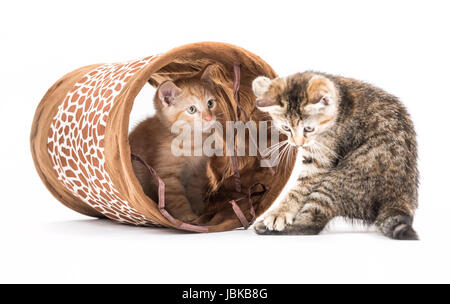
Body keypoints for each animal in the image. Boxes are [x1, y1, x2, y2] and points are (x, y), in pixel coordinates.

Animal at [129, 66, 221, 222]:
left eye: (210, 103)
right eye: (191, 109)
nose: (209, 118)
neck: (192, 140)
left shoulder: (198, 172)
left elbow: (195, 192)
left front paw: (199, 210)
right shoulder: (166, 175)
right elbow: (177, 198)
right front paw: (187, 216)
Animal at [253, 72, 418, 240]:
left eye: (308, 129)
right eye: (286, 128)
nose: (298, 144)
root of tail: (402, 196)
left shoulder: (320, 159)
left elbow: (300, 188)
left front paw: (279, 212)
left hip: (339, 181)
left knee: (312, 222)